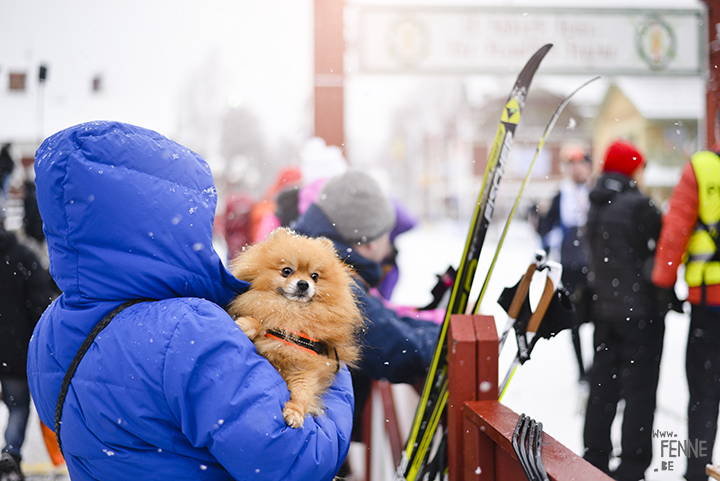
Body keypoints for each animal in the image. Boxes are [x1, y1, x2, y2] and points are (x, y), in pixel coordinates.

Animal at [228, 228, 362, 428]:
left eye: (315, 276)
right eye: (286, 271)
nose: (303, 284)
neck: (293, 313)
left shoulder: (305, 366)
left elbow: (302, 392)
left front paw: (295, 412)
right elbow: (263, 322)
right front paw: (246, 324)